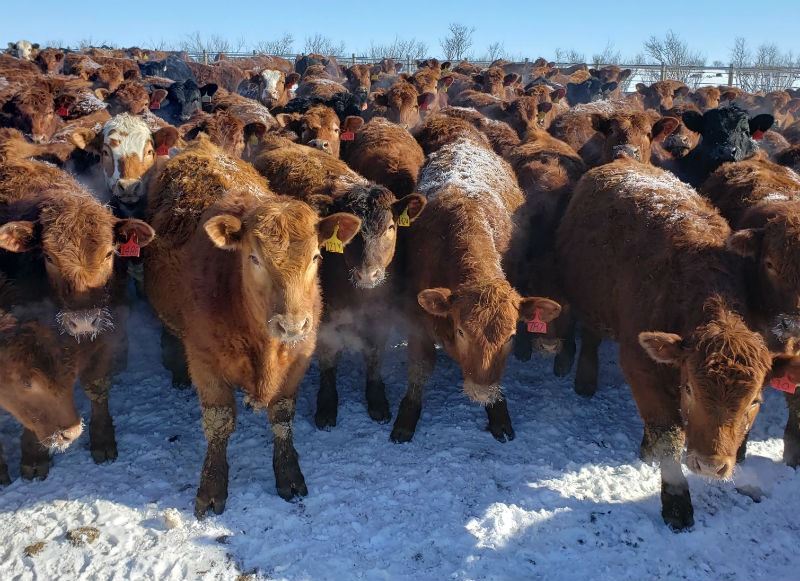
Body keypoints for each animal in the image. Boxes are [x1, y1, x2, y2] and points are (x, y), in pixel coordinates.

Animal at [143, 136, 361, 516]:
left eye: (316, 256)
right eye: (253, 258)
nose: (291, 325)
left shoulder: (299, 357)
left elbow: (282, 416)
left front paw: (289, 474)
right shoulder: (205, 361)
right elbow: (218, 422)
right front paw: (212, 486)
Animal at [394, 136, 561, 443]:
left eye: (510, 336)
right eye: (462, 331)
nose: (481, 391)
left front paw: (498, 412)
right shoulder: (416, 318)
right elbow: (420, 367)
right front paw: (407, 415)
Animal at [556, 156, 800, 530]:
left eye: (755, 402)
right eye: (690, 390)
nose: (710, 465)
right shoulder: (640, 364)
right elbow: (668, 437)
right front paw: (676, 501)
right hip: (590, 300)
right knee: (592, 337)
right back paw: (585, 379)